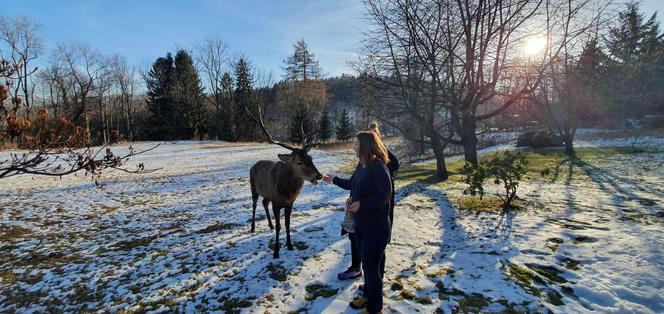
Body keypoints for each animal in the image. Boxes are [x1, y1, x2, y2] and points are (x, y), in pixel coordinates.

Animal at [246, 106, 324, 258]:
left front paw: (289, 245)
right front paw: (276, 251)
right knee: (254, 205)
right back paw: (252, 227)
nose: (319, 175)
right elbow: (279, 226)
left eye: (310, 158)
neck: (287, 192)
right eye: (299, 162)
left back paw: (269, 225)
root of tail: (254, 164)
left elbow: (287, 224)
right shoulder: (276, 203)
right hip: (253, 188)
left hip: (267, 194)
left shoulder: (290, 203)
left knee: (264, 203)